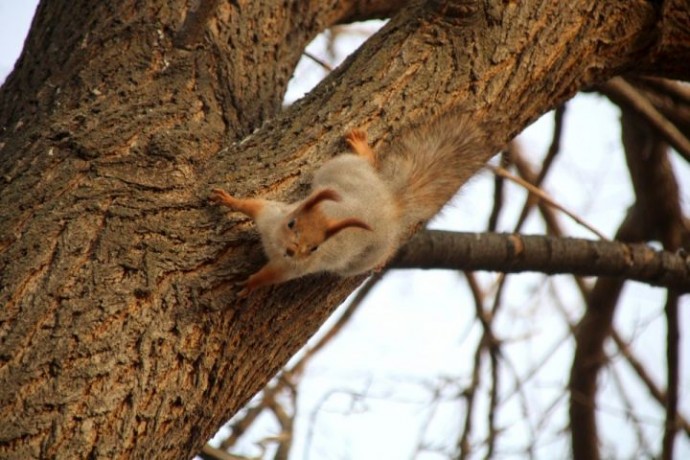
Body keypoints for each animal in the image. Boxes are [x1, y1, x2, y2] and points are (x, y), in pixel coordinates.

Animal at [210, 112, 484, 298]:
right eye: (291, 224)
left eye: (315, 248)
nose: (293, 251)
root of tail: (390, 202)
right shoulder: (272, 214)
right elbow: (251, 205)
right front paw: (227, 199)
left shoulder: (292, 268)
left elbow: (271, 276)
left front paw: (251, 284)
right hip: (341, 166)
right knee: (368, 163)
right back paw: (362, 148)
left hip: (367, 253)